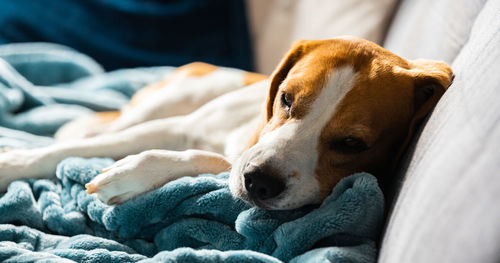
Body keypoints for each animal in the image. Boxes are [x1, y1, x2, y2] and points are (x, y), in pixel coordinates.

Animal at [0, 37, 454, 210]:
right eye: (286, 99)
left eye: (352, 144)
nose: (260, 182)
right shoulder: (173, 127)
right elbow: (63, 151)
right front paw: (12, 164)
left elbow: (209, 159)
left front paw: (132, 172)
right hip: (171, 100)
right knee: (99, 128)